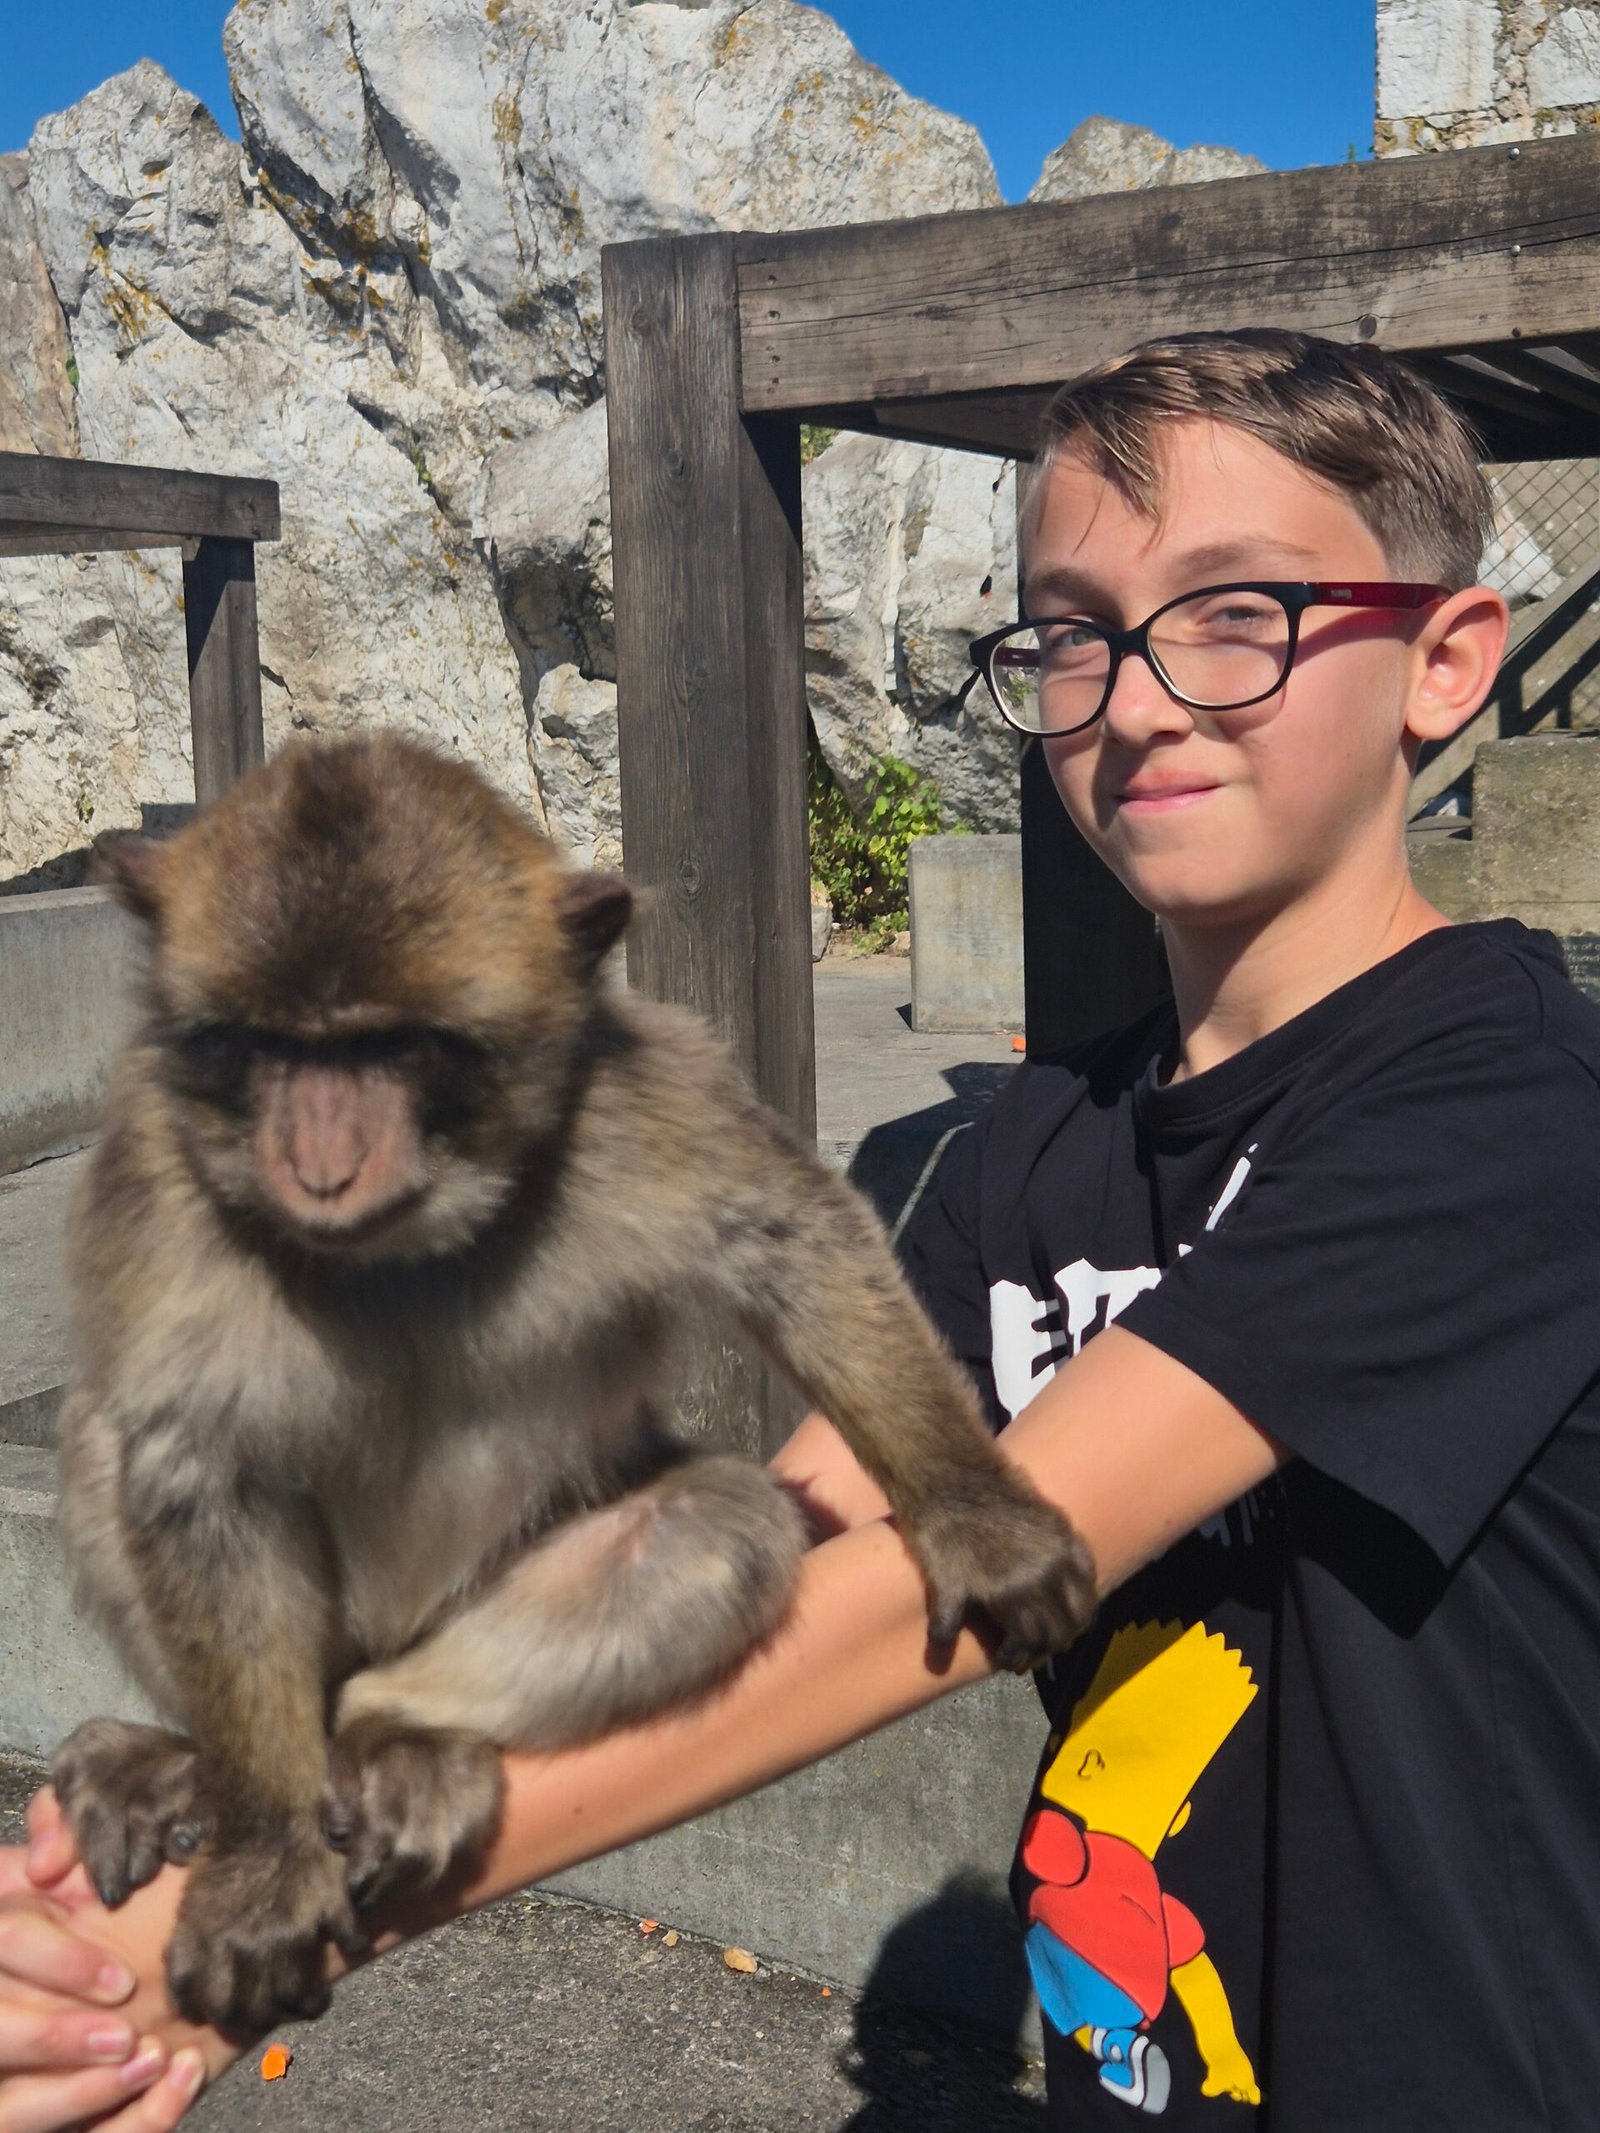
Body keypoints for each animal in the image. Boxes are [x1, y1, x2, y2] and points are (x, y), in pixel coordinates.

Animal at [49, 734, 1097, 2035]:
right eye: (268, 1048)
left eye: (395, 1048)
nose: (322, 1167)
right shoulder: (158, 1175)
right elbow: (194, 1466)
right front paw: (266, 1848)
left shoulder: (638, 1102)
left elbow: (794, 1244)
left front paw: (974, 1516)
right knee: (106, 1444)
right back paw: (199, 1765)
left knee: (713, 1526)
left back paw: (390, 1738)